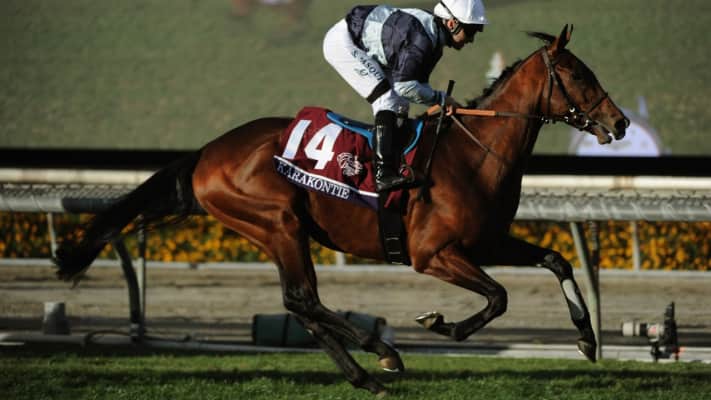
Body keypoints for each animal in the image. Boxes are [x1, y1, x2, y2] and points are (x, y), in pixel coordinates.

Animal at [54, 25, 628, 395]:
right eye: (578, 74)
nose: (619, 122)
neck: (475, 152)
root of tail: (207, 153)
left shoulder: (485, 241)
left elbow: (556, 260)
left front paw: (586, 339)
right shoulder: (433, 254)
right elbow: (499, 297)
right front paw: (441, 325)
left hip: (275, 231)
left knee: (300, 305)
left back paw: (366, 373)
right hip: (278, 222)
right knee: (304, 298)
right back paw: (382, 352)